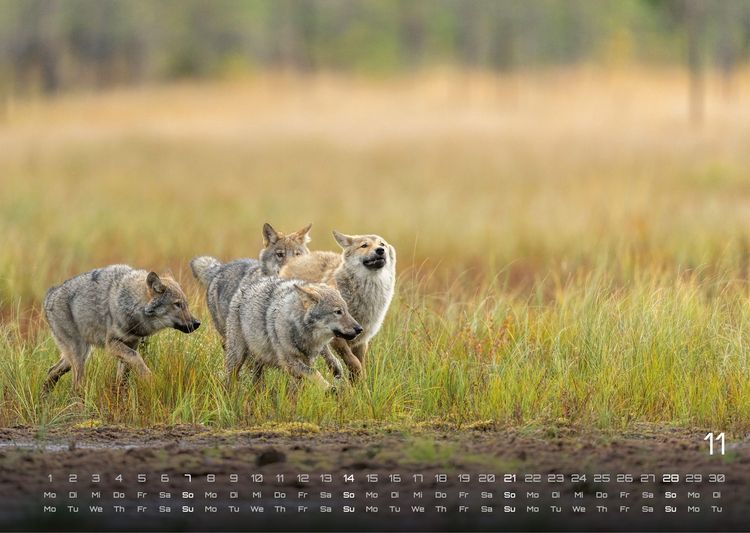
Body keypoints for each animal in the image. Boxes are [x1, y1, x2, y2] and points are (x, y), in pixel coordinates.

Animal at [42, 265, 201, 394]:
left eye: (186, 304)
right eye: (177, 304)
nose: (197, 323)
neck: (131, 304)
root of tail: (49, 295)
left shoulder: (132, 344)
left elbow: (123, 378)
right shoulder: (112, 344)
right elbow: (137, 359)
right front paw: (150, 379)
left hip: (74, 358)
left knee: (52, 371)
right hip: (79, 356)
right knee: (75, 386)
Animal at [224, 277, 362, 388]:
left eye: (347, 311)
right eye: (338, 312)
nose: (360, 329)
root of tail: (243, 288)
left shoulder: (308, 358)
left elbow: (327, 356)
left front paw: (336, 370)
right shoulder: (291, 364)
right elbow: (315, 373)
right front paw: (330, 389)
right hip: (237, 357)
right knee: (230, 378)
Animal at [279, 231, 396, 378]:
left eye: (382, 244)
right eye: (364, 245)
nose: (380, 250)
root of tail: (292, 261)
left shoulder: (361, 340)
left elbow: (359, 363)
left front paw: (361, 383)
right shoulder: (337, 337)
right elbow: (353, 361)